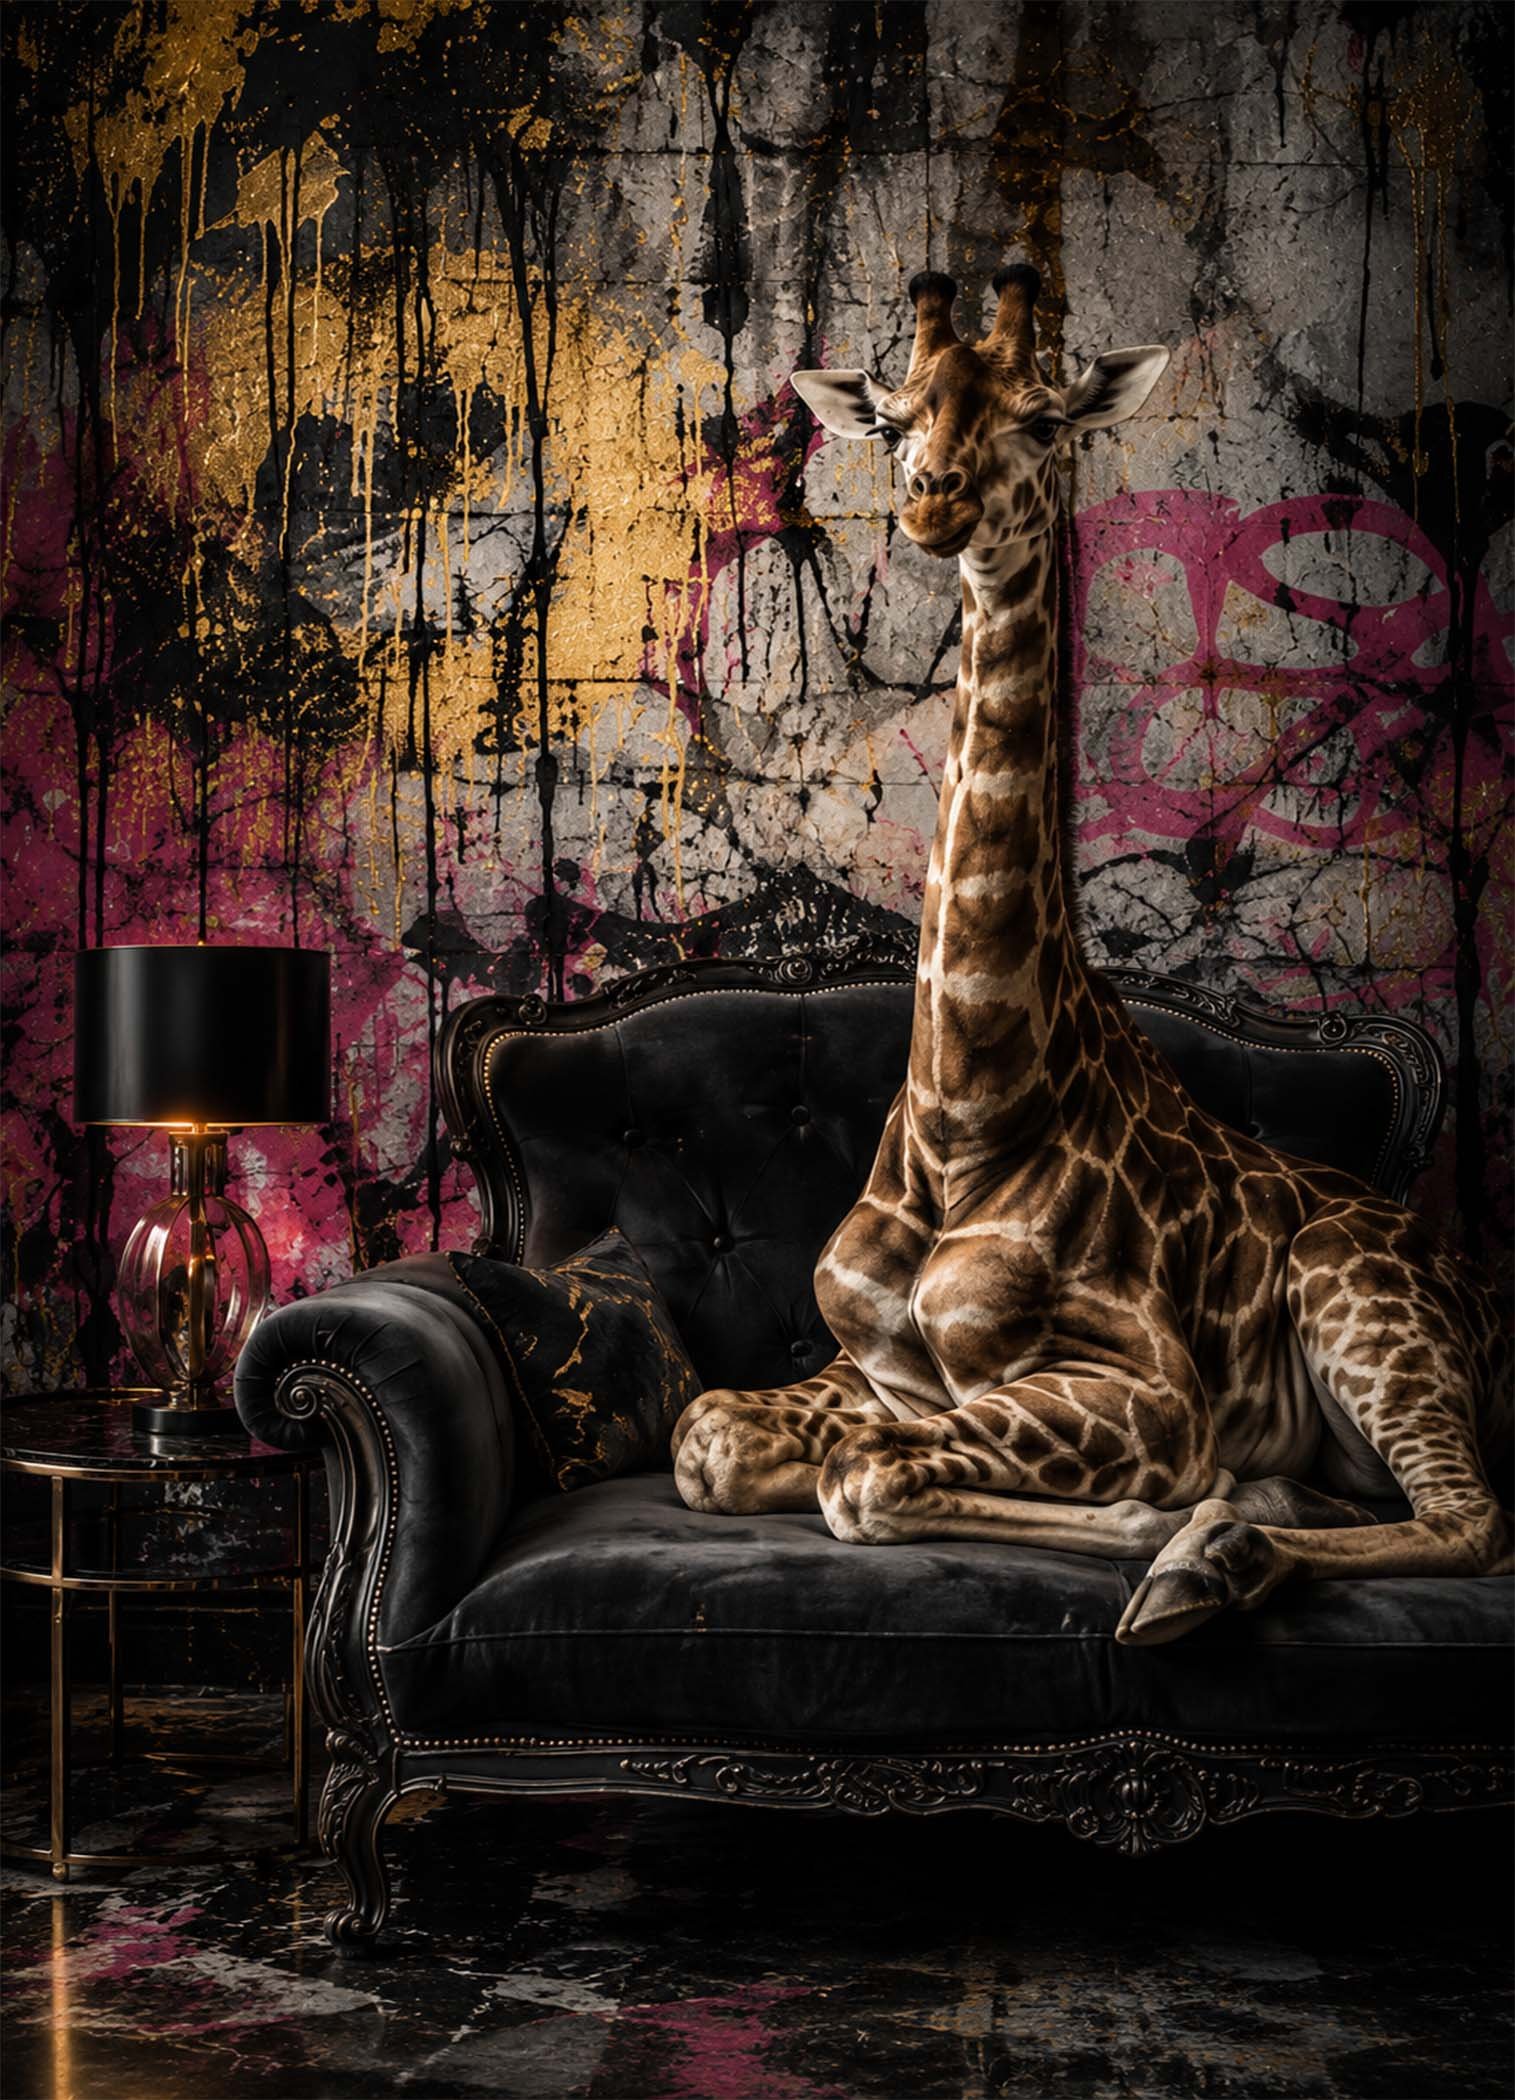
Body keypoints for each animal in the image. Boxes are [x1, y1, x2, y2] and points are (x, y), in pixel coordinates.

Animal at [670, 263, 1513, 1643]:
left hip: (1360, 1306)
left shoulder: (1146, 1389)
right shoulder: (873, 1368)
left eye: (1043, 420)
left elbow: (866, 1479)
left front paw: (1167, 1518)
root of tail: (1486, 1297)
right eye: (894, 419)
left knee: (1474, 1521)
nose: (934, 499)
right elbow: (710, 1437)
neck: (965, 1104)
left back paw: (1209, 1559)